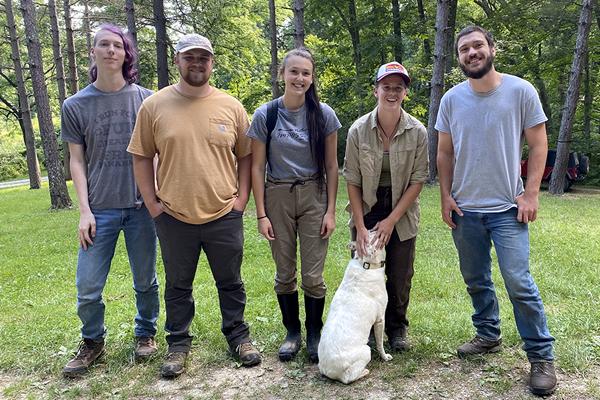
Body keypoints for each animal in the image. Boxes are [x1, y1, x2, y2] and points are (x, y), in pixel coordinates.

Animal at [316, 231, 392, 384]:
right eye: (373, 236)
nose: (375, 228)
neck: (365, 264)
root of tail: (328, 370)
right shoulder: (380, 319)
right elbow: (380, 344)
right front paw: (385, 356)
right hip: (366, 351)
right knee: (348, 378)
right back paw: (365, 371)